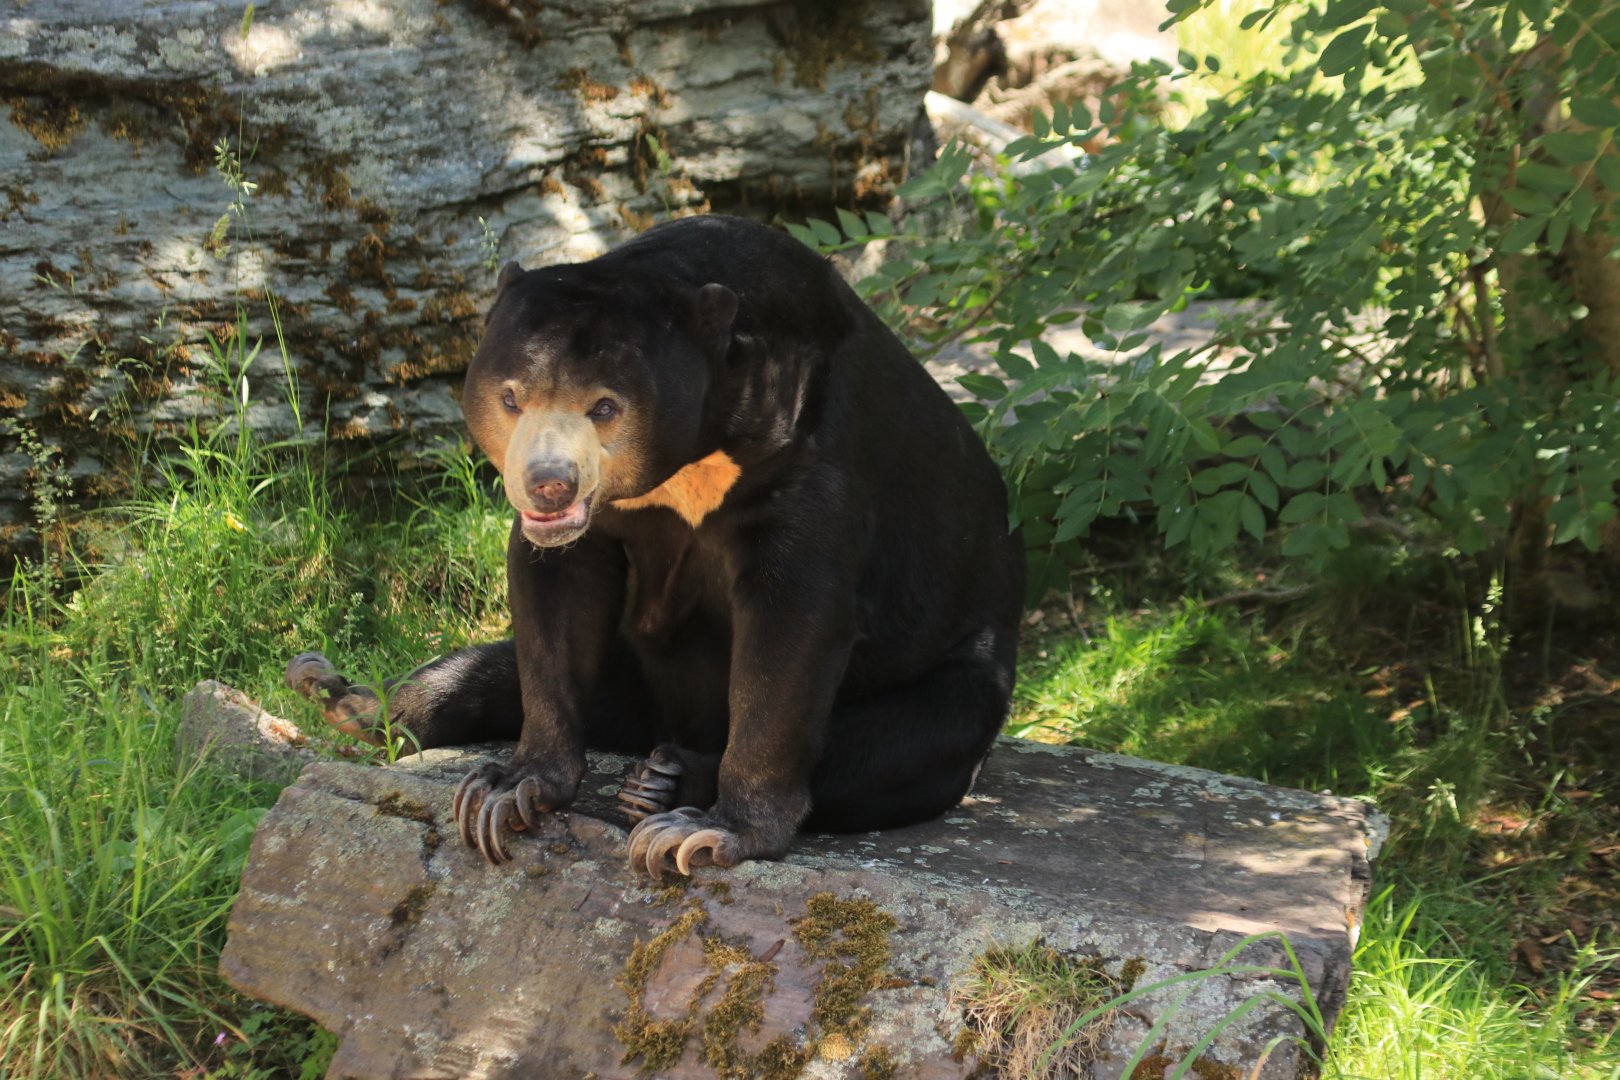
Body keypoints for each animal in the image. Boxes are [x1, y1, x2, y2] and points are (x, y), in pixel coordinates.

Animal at [286, 214, 1025, 879]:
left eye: (604, 406)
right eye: (511, 397)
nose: (548, 485)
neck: (695, 454)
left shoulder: (809, 462)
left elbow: (793, 627)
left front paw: (711, 833)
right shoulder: (591, 524)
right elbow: (552, 601)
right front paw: (510, 789)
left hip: (963, 669)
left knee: (905, 741)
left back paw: (666, 783)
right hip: (626, 676)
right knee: (490, 669)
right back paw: (347, 698)